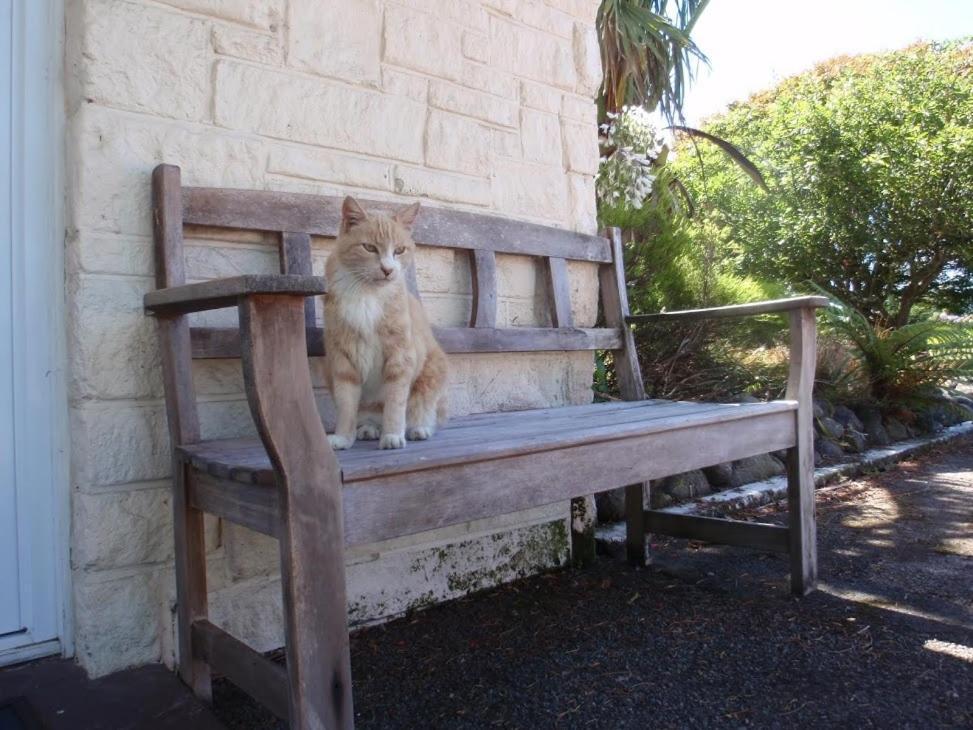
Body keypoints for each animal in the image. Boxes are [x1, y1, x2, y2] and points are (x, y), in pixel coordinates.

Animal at [326, 196, 448, 446]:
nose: (387, 269)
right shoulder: (342, 358)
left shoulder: (400, 356)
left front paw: (392, 435)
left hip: (431, 375)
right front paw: (343, 438)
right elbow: (346, 404)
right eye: (370, 248)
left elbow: (395, 402)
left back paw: (418, 429)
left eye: (399, 250)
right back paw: (368, 428)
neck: (367, 293)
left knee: (422, 410)